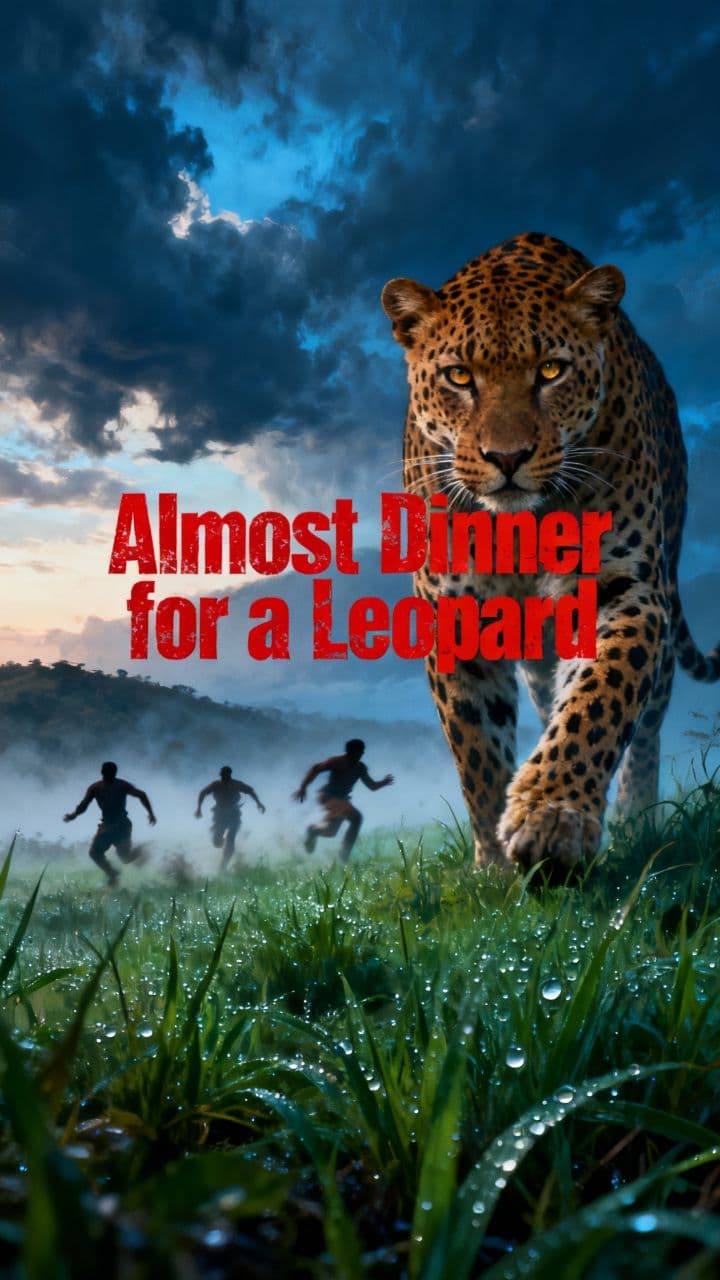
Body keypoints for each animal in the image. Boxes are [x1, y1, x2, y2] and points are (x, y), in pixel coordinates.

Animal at [382, 231, 720, 876]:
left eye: (551, 370)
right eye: (459, 376)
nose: (506, 456)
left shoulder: (622, 587)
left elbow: (599, 699)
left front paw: (552, 816)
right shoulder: (453, 610)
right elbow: (478, 751)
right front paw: (495, 866)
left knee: (649, 724)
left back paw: (638, 818)